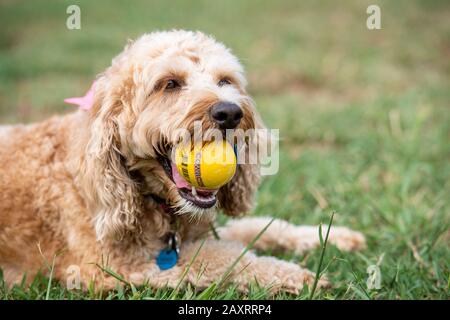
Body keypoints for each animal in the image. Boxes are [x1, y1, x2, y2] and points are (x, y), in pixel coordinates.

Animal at [0, 30, 366, 296]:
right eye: (170, 84)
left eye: (225, 81)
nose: (230, 112)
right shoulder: (111, 268)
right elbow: (221, 257)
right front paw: (295, 274)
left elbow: (254, 228)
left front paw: (333, 236)